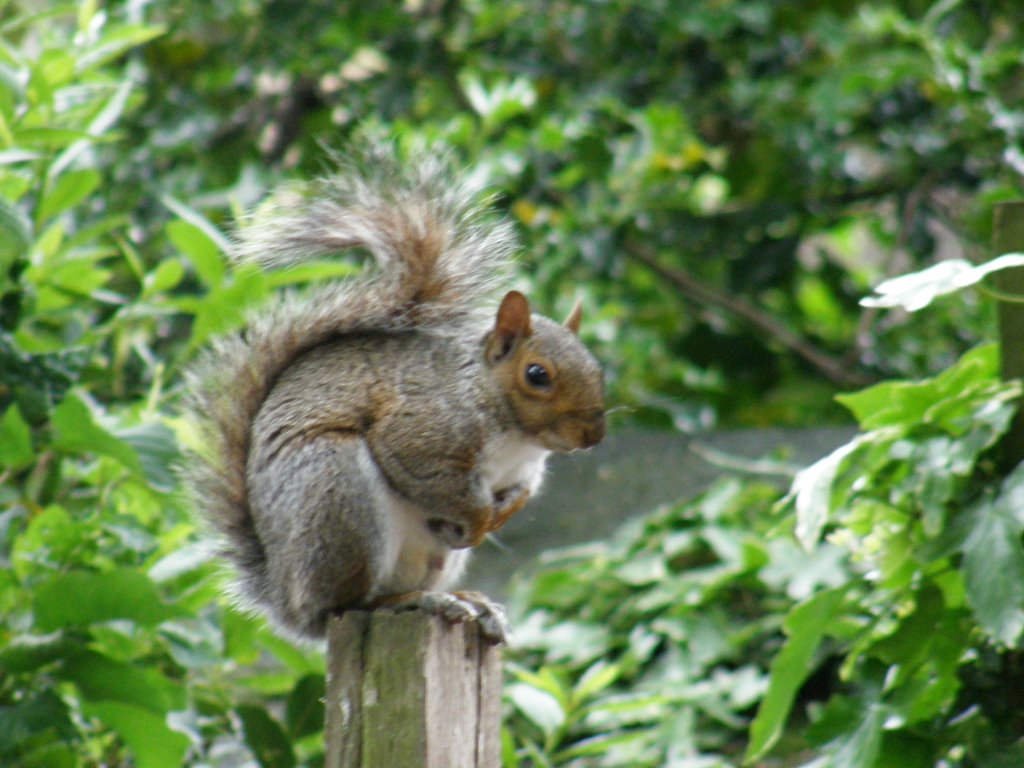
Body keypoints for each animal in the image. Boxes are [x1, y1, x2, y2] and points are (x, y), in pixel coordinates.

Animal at [182, 148, 606, 643]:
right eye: (537, 375)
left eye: (596, 366)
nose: (593, 436)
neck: (515, 434)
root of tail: (289, 603)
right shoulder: (424, 428)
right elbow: (429, 475)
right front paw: (480, 519)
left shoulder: (523, 471)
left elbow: (521, 493)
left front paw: (503, 513)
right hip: (335, 492)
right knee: (350, 602)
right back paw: (408, 600)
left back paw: (465, 600)